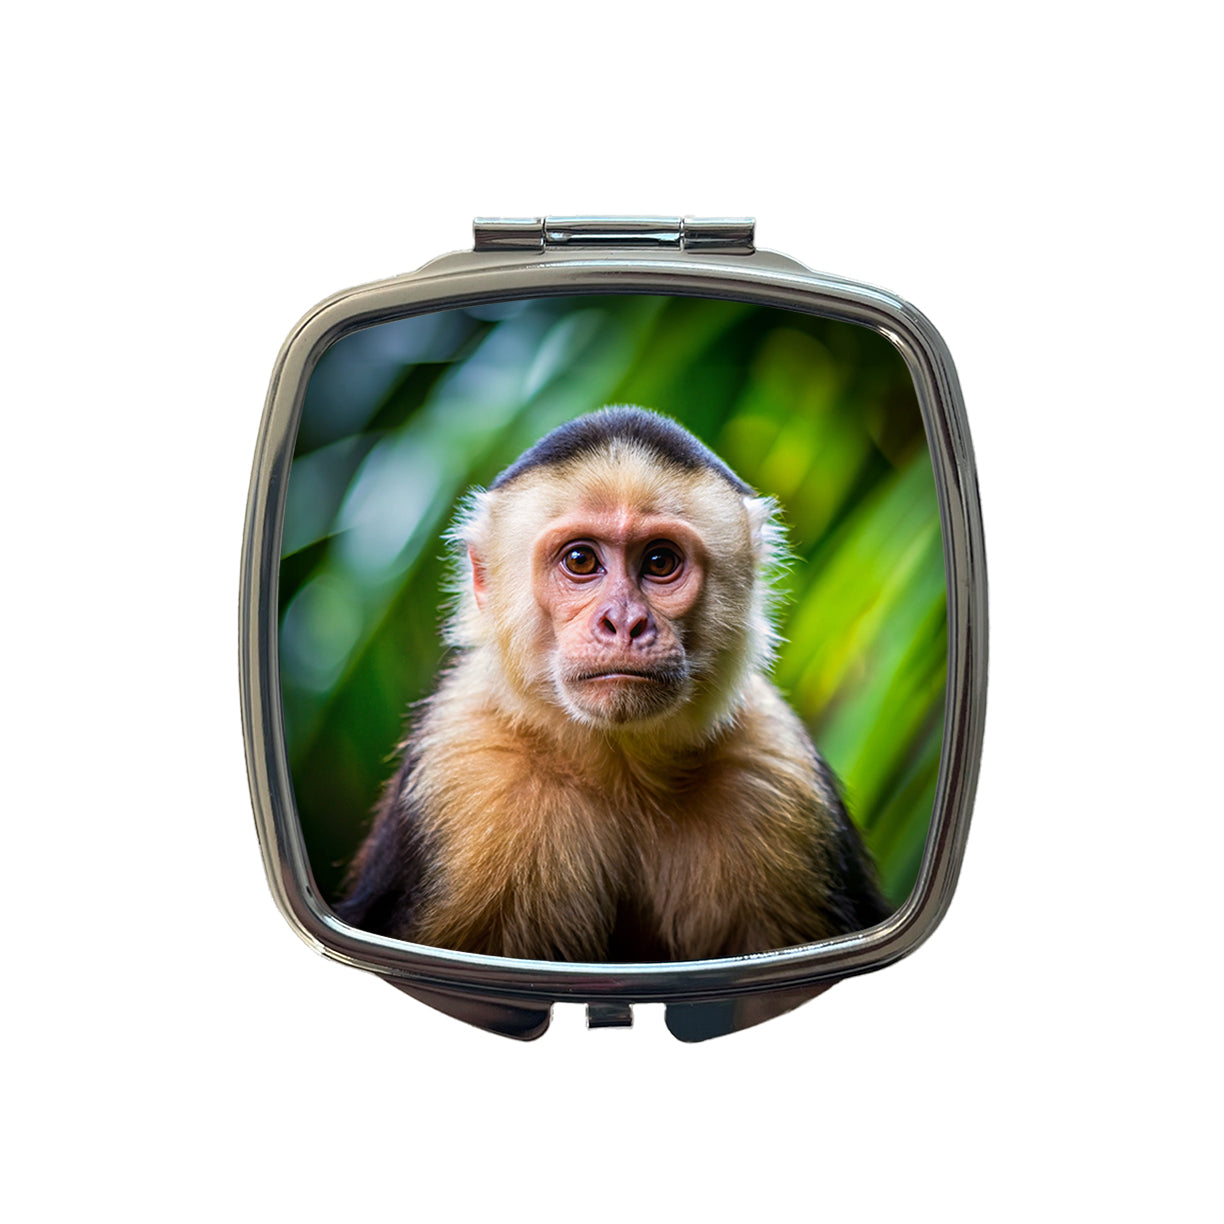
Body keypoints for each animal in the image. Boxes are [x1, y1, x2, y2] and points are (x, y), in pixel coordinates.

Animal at [335, 406, 891, 961]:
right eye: (581, 561)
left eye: (660, 562)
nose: (624, 622)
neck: (621, 773)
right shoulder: (463, 763)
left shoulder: (776, 767)